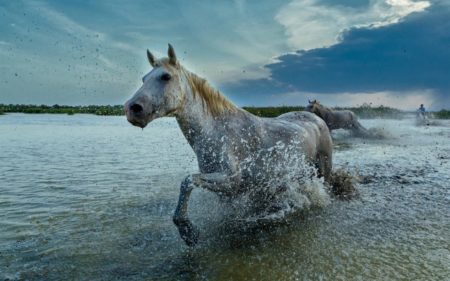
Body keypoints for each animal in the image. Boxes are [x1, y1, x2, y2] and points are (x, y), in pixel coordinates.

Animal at [125, 44, 332, 245]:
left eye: (166, 76)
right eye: (143, 79)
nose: (132, 108)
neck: (217, 132)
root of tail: (315, 118)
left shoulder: (231, 181)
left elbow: (187, 181)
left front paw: (187, 231)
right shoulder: (226, 193)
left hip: (324, 170)